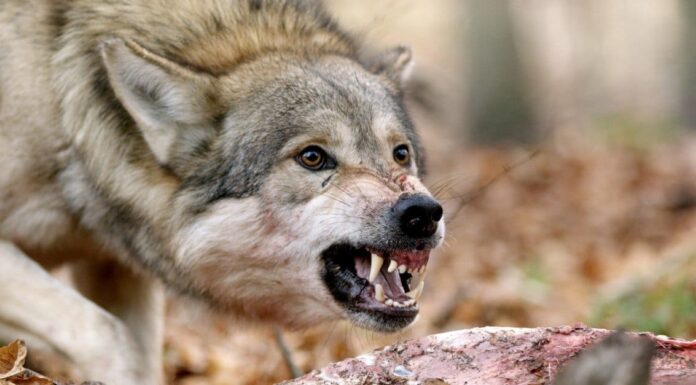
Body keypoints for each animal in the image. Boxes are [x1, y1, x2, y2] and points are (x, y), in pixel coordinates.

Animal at [0, 0, 446, 382]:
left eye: (400, 153)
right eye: (313, 157)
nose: (421, 212)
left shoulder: (117, 269)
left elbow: (139, 357)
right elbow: (107, 337)